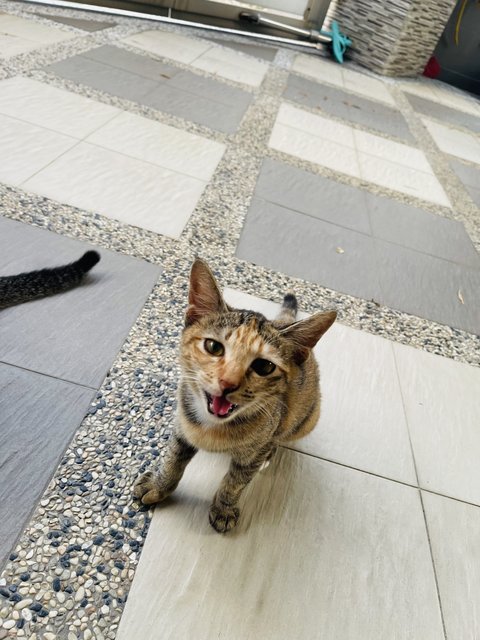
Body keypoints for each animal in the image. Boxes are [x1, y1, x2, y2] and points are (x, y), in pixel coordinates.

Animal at [134, 258, 338, 532]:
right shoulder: (182, 424)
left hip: (307, 419)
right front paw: (159, 485)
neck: (212, 429)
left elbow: (235, 482)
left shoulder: (252, 454)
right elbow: (173, 458)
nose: (227, 383)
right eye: (213, 346)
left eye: (264, 366)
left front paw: (223, 508)